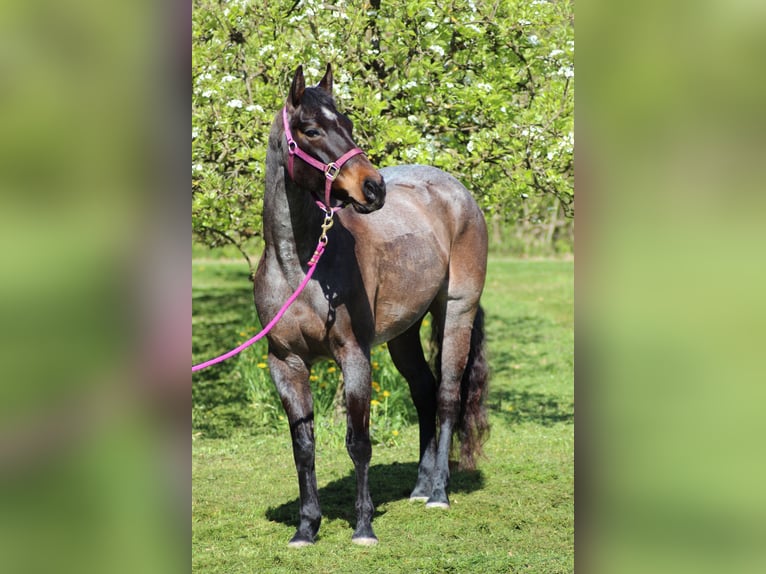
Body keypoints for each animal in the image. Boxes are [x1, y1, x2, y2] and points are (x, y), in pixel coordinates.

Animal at [252, 64, 489, 547]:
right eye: (311, 129)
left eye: (347, 123)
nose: (374, 188)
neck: (300, 266)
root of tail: (456, 190)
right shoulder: (285, 363)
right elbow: (303, 447)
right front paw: (306, 527)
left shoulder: (354, 356)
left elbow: (358, 441)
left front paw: (363, 528)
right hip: (404, 333)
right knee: (423, 392)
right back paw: (419, 488)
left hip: (456, 312)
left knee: (447, 396)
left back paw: (439, 493)